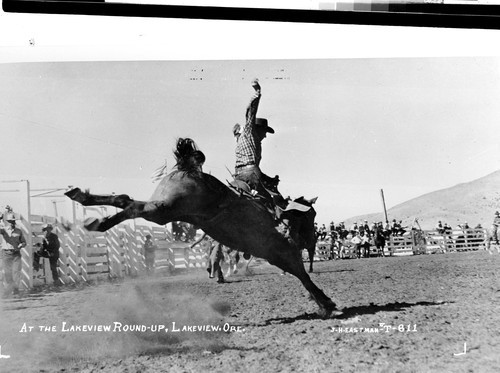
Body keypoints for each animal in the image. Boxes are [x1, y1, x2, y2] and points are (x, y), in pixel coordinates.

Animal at [64, 138, 338, 318]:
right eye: (312, 215)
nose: (312, 237)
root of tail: (189, 169)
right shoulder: (284, 253)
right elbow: (303, 275)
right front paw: (326, 304)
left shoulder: (277, 255)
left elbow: (301, 276)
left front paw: (324, 302)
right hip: (165, 209)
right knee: (130, 204)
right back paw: (92, 213)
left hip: (165, 209)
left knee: (126, 201)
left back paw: (89, 210)